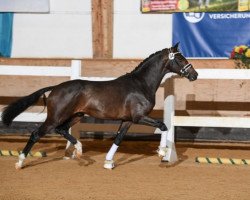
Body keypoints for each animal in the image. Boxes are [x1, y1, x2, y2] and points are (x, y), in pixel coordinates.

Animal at [0, 43, 198, 170]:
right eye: (181, 59)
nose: (194, 75)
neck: (141, 84)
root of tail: (55, 88)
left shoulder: (127, 120)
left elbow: (118, 139)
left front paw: (108, 162)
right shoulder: (139, 117)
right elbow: (163, 126)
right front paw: (162, 152)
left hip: (76, 115)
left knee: (62, 130)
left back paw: (79, 151)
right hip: (55, 117)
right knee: (36, 134)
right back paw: (20, 162)